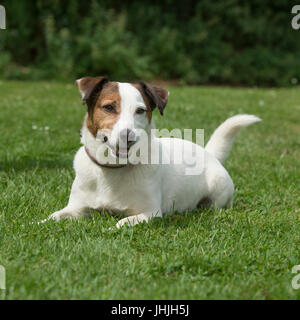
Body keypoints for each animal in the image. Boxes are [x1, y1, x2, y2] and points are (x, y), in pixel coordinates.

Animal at [46, 77, 260, 228]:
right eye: (108, 107)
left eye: (140, 110)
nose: (127, 136)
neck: (113, 169)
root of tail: (208, 153)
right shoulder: (76, 208)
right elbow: (54, 216)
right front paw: (41, 223)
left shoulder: (150, 213)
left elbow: (122, 222)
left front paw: (113, 227)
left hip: (218, 189)